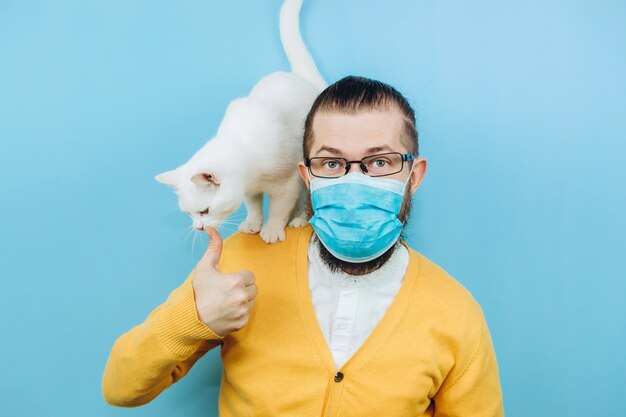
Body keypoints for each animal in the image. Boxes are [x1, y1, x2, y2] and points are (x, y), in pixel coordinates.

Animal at [155, 0, 326, 242]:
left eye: (204, 211)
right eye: (188, 213)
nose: (199, 227)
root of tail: (305, 81)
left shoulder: (287, 183)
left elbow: (279, 208)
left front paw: (272, 229)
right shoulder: (251, 190)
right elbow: (254, 206)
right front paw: (253, 224)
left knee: (304, 198)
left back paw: (299, 220)